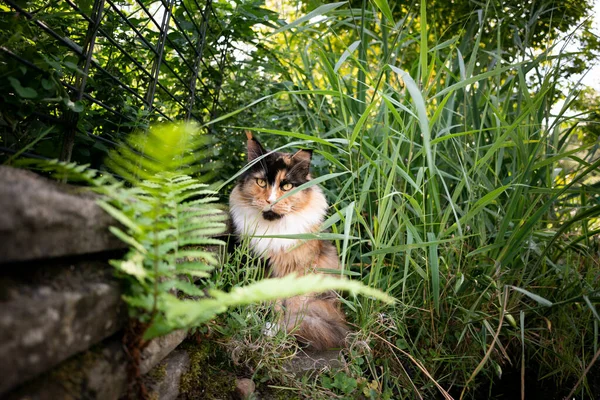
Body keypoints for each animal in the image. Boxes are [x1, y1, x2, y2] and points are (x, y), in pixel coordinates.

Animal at [231, 132, 352, 350]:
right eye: (261, 183)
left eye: (286, 186)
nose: (271, 201)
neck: (274, 230)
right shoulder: (266, 268)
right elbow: (274, 302)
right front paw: (271, 326)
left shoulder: (301, 270)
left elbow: (294, 306)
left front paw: (282, 329)